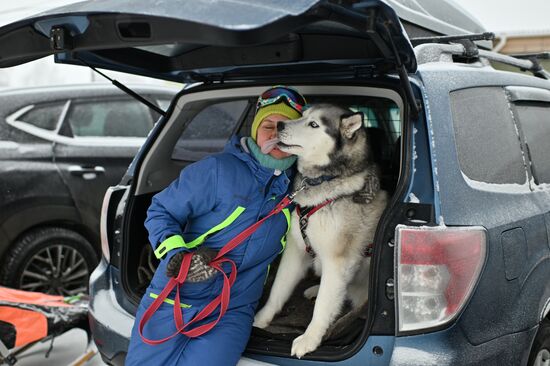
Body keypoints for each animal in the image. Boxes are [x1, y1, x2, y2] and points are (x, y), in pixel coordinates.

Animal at [254, 104, 388, 358]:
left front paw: (310, 338)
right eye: (303, 115)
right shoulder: (296, 250)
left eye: (314, 124)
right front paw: (260, 319)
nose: (280, 125)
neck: (323, 182)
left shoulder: (338, 261)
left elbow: (323, 307)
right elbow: (278, 289)